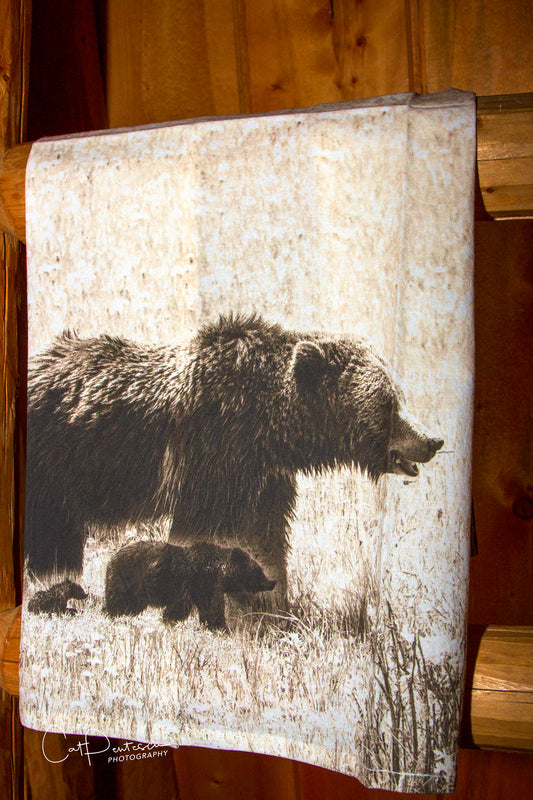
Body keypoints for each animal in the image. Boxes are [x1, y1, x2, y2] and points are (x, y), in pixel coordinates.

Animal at [25, 313, 444, 609]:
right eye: (388, 404)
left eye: (399, 396)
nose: (433, 440)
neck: (272, 427)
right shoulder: (214, 454)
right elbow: (203, 527)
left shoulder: (264, 475)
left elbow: (266, 535)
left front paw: (270, 600)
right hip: (55, 461)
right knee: (50, 533)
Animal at [104, 541, 277, 631]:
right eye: (258, 571)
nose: (272, 582)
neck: (216, 572)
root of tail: (113, 556)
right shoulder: (194, 583)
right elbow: (181, 607)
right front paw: (169, 621)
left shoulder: (212, 589)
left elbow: (213, 610)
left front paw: (219, 627)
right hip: (129, 578)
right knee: (119, 600)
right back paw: (111, 614)